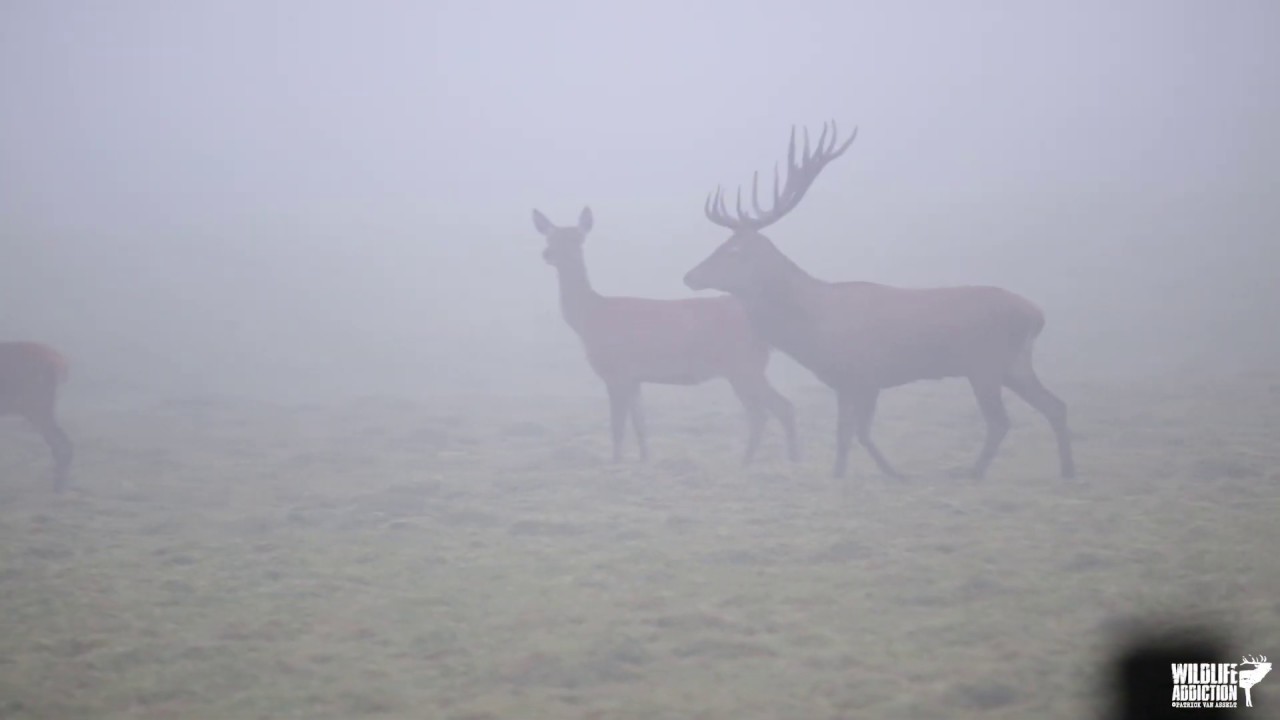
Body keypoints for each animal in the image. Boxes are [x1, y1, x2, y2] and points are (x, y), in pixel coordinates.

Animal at [531, 206, 799, 465]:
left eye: (577, 238)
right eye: (550, 236)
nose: (547, 253)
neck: (589, 317)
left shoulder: (616, 370)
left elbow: (617, 427)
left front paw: (615, 463)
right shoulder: (634, 377)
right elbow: (640, 425)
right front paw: (644, 460)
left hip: (744, 365)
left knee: (778, 408)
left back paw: (781, 460)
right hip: (742, 369)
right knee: (761, 413)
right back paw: (751, 460)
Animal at [683, 122, 1075, 481]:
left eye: (733, 251)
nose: (689, 276)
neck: (812, 328)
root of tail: (1036, 314)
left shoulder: (863, 374)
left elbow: (854, 433)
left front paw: (879, 473)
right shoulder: (848, 382)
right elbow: (849, 434)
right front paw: (855, 474)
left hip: (985, 364)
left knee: (1000, 421)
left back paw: (973, 473)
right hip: (1015, 364)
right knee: (1055, 405)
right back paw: (1067, 471)